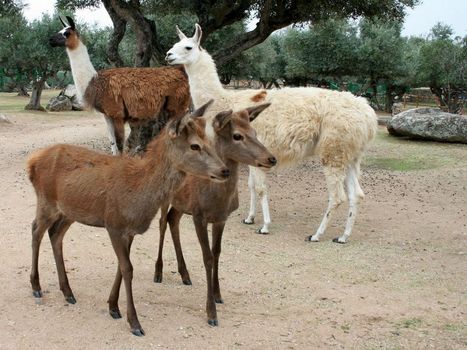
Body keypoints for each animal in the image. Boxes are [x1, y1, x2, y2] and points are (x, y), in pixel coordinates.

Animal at [27, 100, 229, 334]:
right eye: (195, 145)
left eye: (209, 141)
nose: (225, 171)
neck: (138, 195)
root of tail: (31, 163)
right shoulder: (113, 223)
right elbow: (128, 268)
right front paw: (134, 323)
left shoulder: (129, 230)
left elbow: (121, 267)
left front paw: (113, 307)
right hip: (46, 201)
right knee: (36, 230)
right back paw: (36, 286)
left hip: (70, 211)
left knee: (55, 234)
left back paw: (68, 292)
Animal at [154, 103, 278, 326]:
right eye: (237, 135)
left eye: (254, 132)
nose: (271, 158)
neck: (217, 199)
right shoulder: (199, 215)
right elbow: (207, 257)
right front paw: (211, 312)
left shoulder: (220, 218)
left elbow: (218, 252)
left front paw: (218, 295)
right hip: (165, 196)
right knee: (161, 223)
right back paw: (158, 272)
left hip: (181, 204)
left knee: (172, 220)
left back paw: (185, 274)